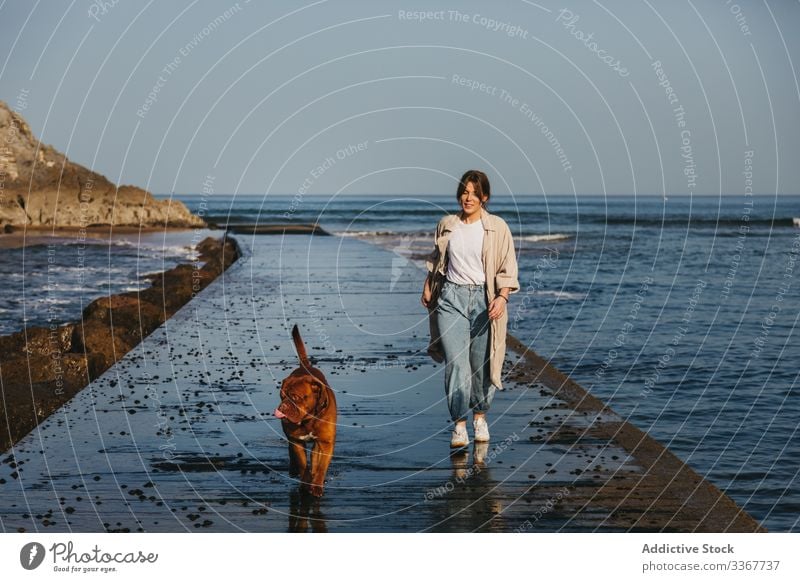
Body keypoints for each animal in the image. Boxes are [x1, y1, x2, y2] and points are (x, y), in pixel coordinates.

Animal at [276, 324, 338, 498]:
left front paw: (316, 485)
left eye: (295, 397)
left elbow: (321, 466)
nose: (282, 407)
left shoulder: (325, 443)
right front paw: (305, 483)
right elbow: (303, 464)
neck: (309, 419)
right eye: (281, 395)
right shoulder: (297, 441)